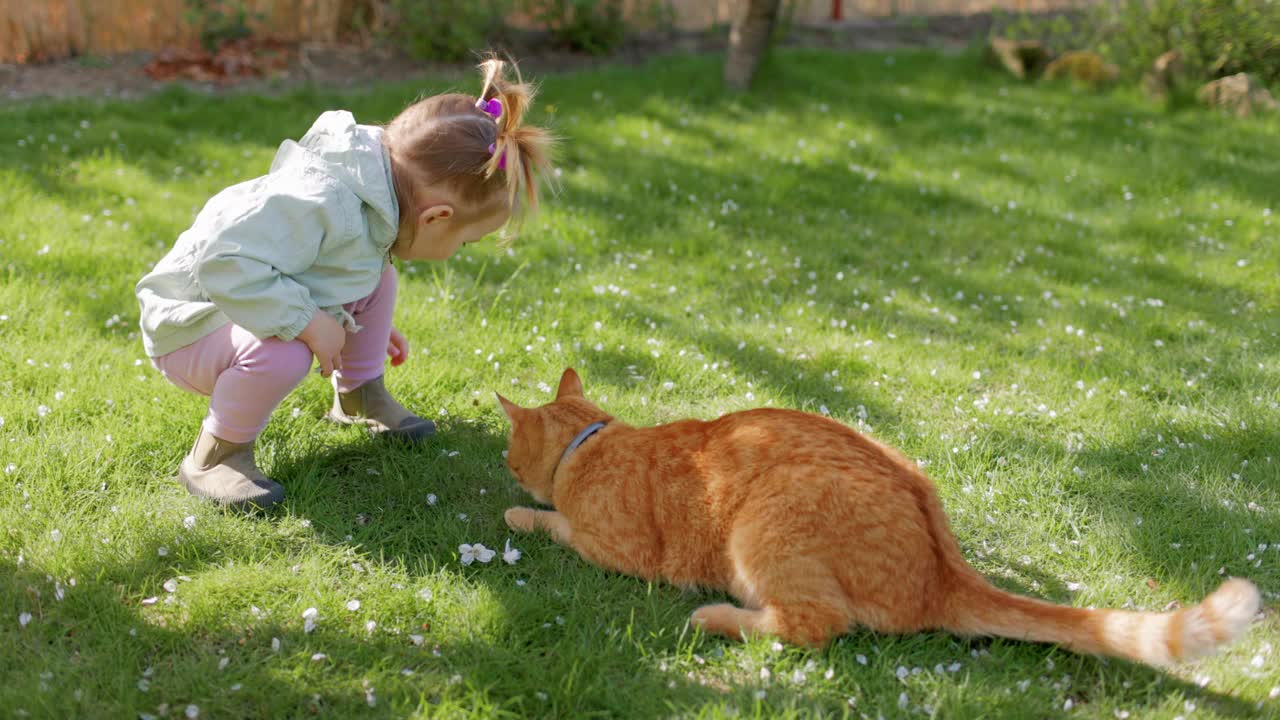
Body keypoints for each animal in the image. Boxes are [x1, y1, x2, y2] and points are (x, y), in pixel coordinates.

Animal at [496, 368, 1259, 666]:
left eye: (507, 453)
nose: (505, 466)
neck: (595, 441)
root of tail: (947, 569)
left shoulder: (617, 549)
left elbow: (554, 523)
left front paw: (520, 512)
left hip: (769, 522)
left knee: (811, 627)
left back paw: (714, 617)